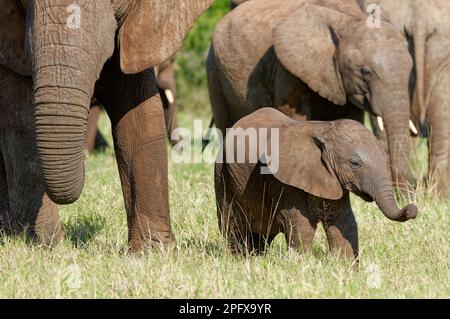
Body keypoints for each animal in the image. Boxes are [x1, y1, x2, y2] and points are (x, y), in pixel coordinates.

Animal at [209, 0, 416, 195]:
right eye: (365, 72)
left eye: (410, 70)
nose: (405, 198)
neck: (348, 19)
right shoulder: (287, 68)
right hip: (215, 73)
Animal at [215, 108, 418, 260]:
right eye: (355, 163)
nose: (412, 208)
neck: (324, 129)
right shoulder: (284, 180)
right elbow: (302, 224)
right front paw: (301, 265)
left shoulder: (332, 180)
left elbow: (344, 222)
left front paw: (348, 269)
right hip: (222, 174)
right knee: (232, 225)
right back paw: (239, 258)